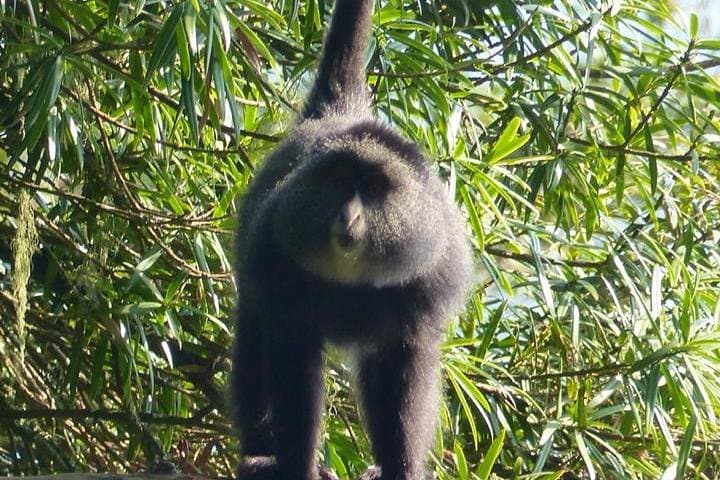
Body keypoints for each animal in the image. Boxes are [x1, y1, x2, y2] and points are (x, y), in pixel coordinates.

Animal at [231, 1, 474, 479]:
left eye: (376, 187)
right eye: (342, 181)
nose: (350, 215)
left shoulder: (426, 285)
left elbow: (402, 368)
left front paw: (401, 468)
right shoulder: (274, 262)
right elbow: (292, 363)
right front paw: (296, 466)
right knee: (252, 348)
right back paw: (260, 454)